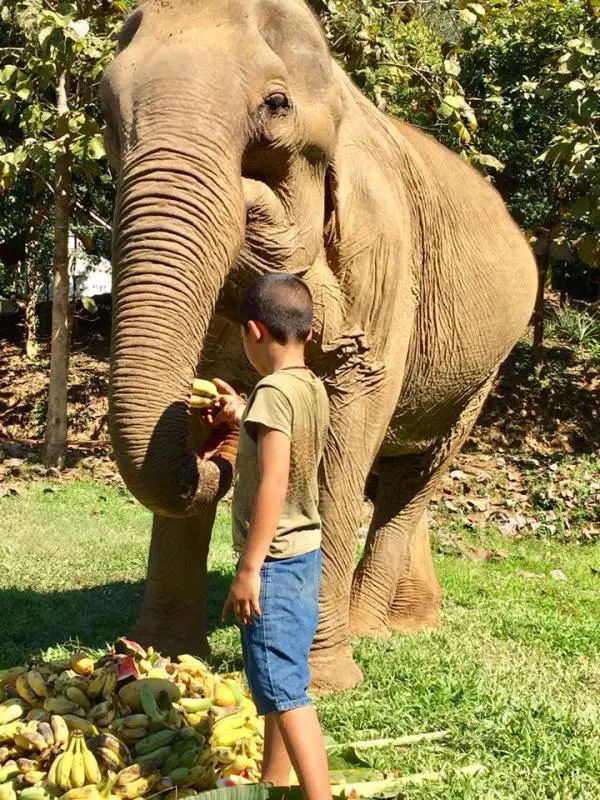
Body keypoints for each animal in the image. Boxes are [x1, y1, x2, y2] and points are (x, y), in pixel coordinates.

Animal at [99, 0, 540, 692]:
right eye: (104, 110)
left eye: (276, 104)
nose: (217, 448)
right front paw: (158, 655)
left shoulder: (382, 254)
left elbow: (345, 429)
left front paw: (326, 680)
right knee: (391, 473)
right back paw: (410, 622)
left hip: (486, 371)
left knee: (413, 477)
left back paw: (373, 630)